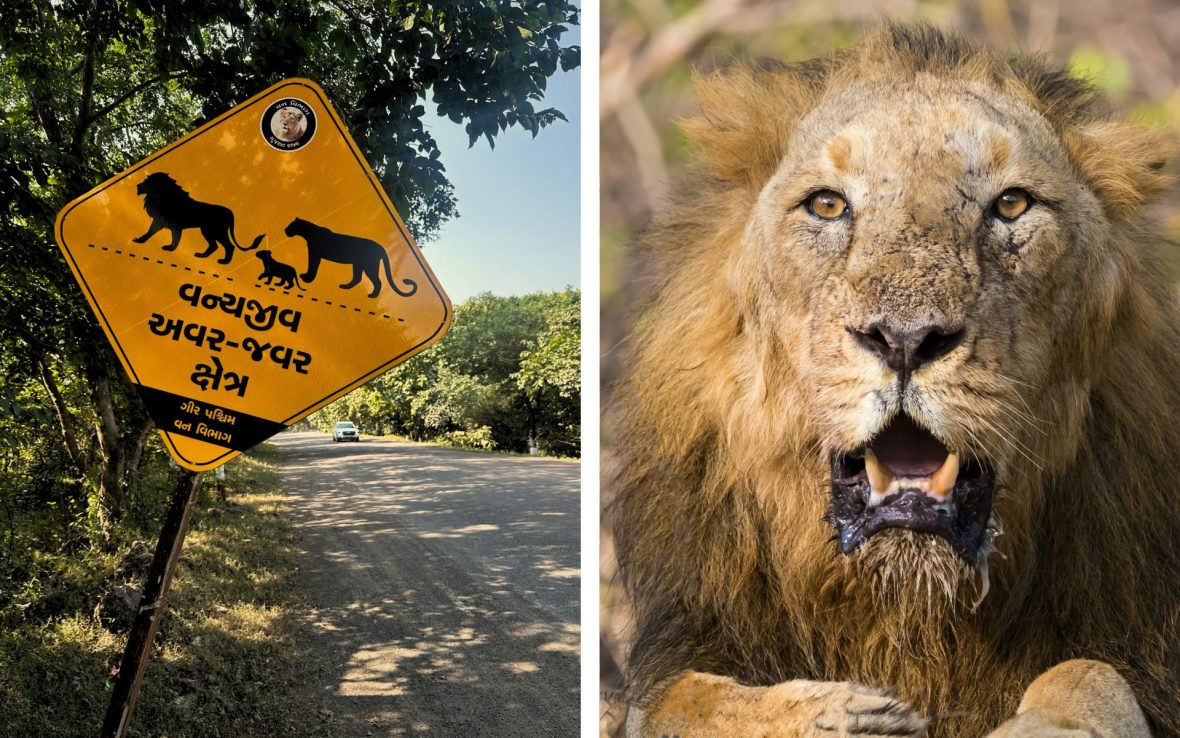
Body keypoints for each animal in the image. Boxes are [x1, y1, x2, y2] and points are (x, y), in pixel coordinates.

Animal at [133, 171, 263, 263]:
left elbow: (175, 239)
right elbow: (149, 232)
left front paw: (169, 248)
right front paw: (139, 240)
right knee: (214, 246)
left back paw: (224, 262)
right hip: (208, 231)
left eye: (147, 180)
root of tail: (230, 212)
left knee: (228, 246)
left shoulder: (175, 226)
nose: (137, 186)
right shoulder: (159, 221)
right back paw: (202, 256)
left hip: (214, 231)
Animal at [608, 23, 1180, 736]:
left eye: (1012, 204)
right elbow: (691, 700)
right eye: (827, 205)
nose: (905, 338)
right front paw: (839, 712)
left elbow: (1088, 673)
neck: (908, 608)